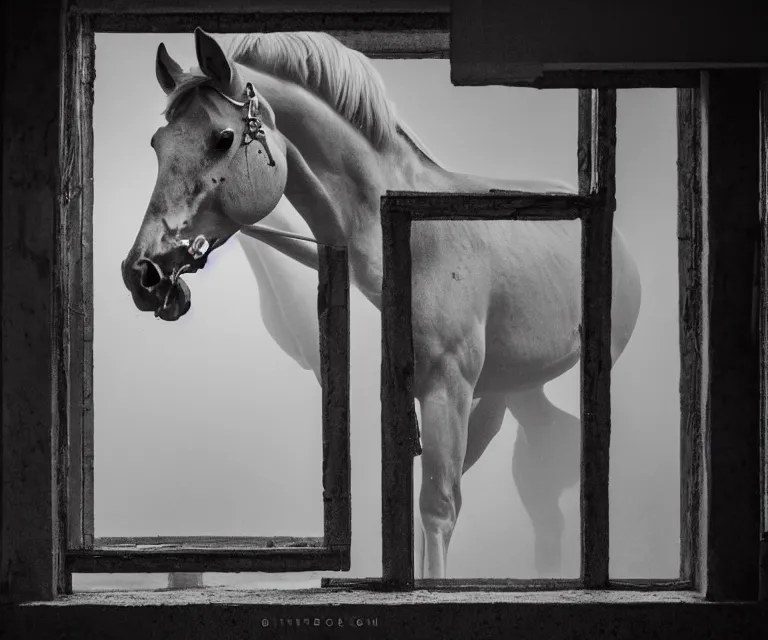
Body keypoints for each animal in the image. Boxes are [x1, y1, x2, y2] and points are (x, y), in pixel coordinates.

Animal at [121, 28, 640, 580]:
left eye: (221, 138)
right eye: (157, 144)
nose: (142, 272)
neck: (414, 232)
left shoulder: (447, 387)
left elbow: (436, 509)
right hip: (508, 391)